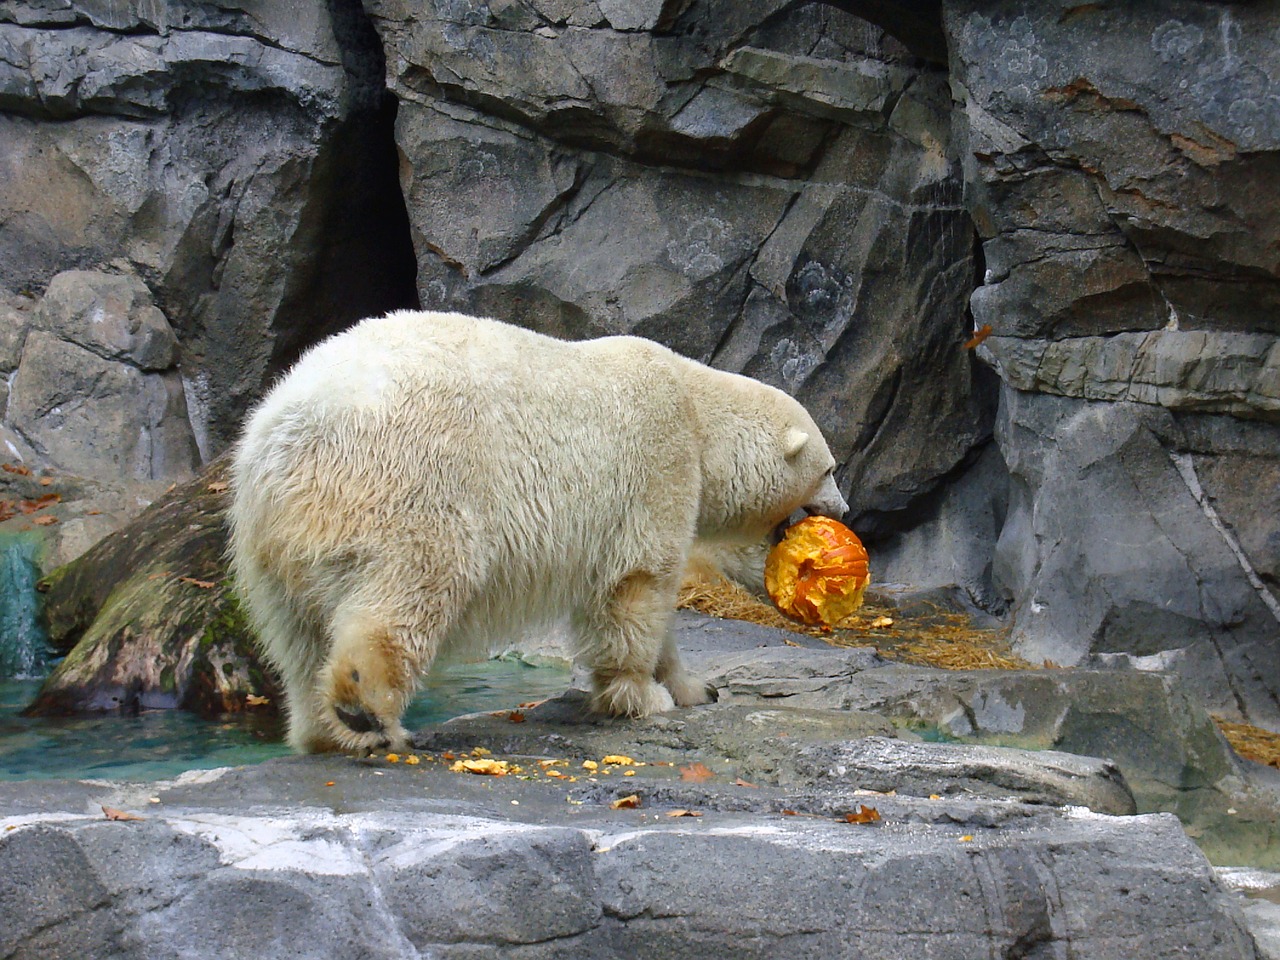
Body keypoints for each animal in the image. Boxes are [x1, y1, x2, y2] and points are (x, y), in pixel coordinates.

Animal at [227, 312, 849, 757]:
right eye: (830, 468)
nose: (845, 508)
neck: (697, 408)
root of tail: (288, 431)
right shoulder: (657, 465)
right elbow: (636, 588)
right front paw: (644, 695)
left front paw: (696, 687)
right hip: (408, 487)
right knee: (408, 590)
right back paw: (368, 711)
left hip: (270, 539)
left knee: (297, 634)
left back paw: (325, 730)